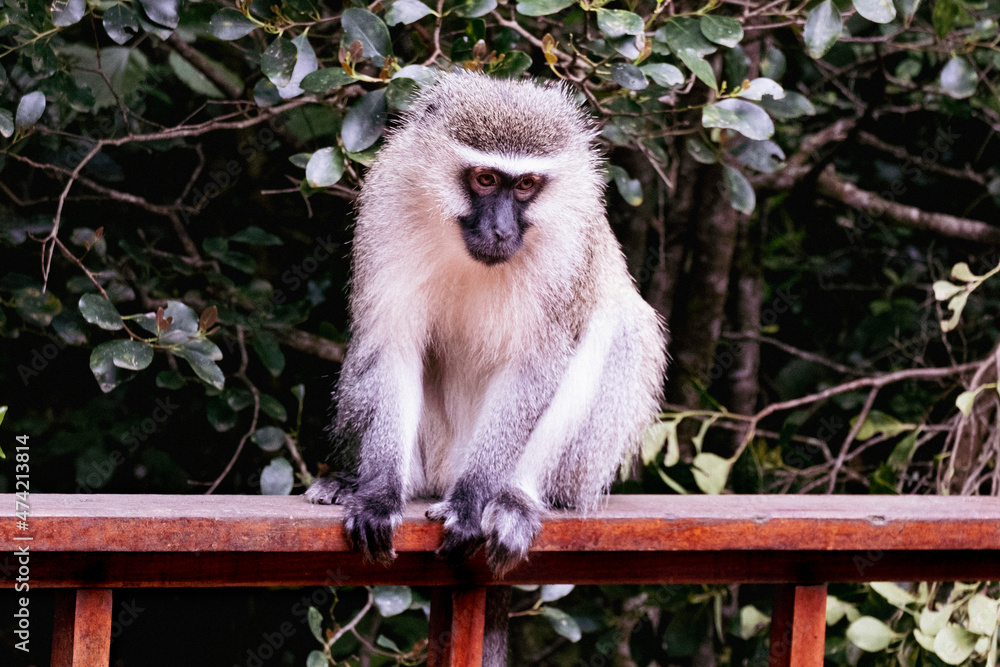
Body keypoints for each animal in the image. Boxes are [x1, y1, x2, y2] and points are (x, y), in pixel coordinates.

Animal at [305, 71, 667, 663]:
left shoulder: (569, 245)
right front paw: (378, 492)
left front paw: (475, 501)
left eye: (525, 187)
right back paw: (369, 482)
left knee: (618, 328)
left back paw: (513, 498)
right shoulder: (389, 207)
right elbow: (392, 345)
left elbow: (537, 364)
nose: (499, 230)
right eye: (484, 178)